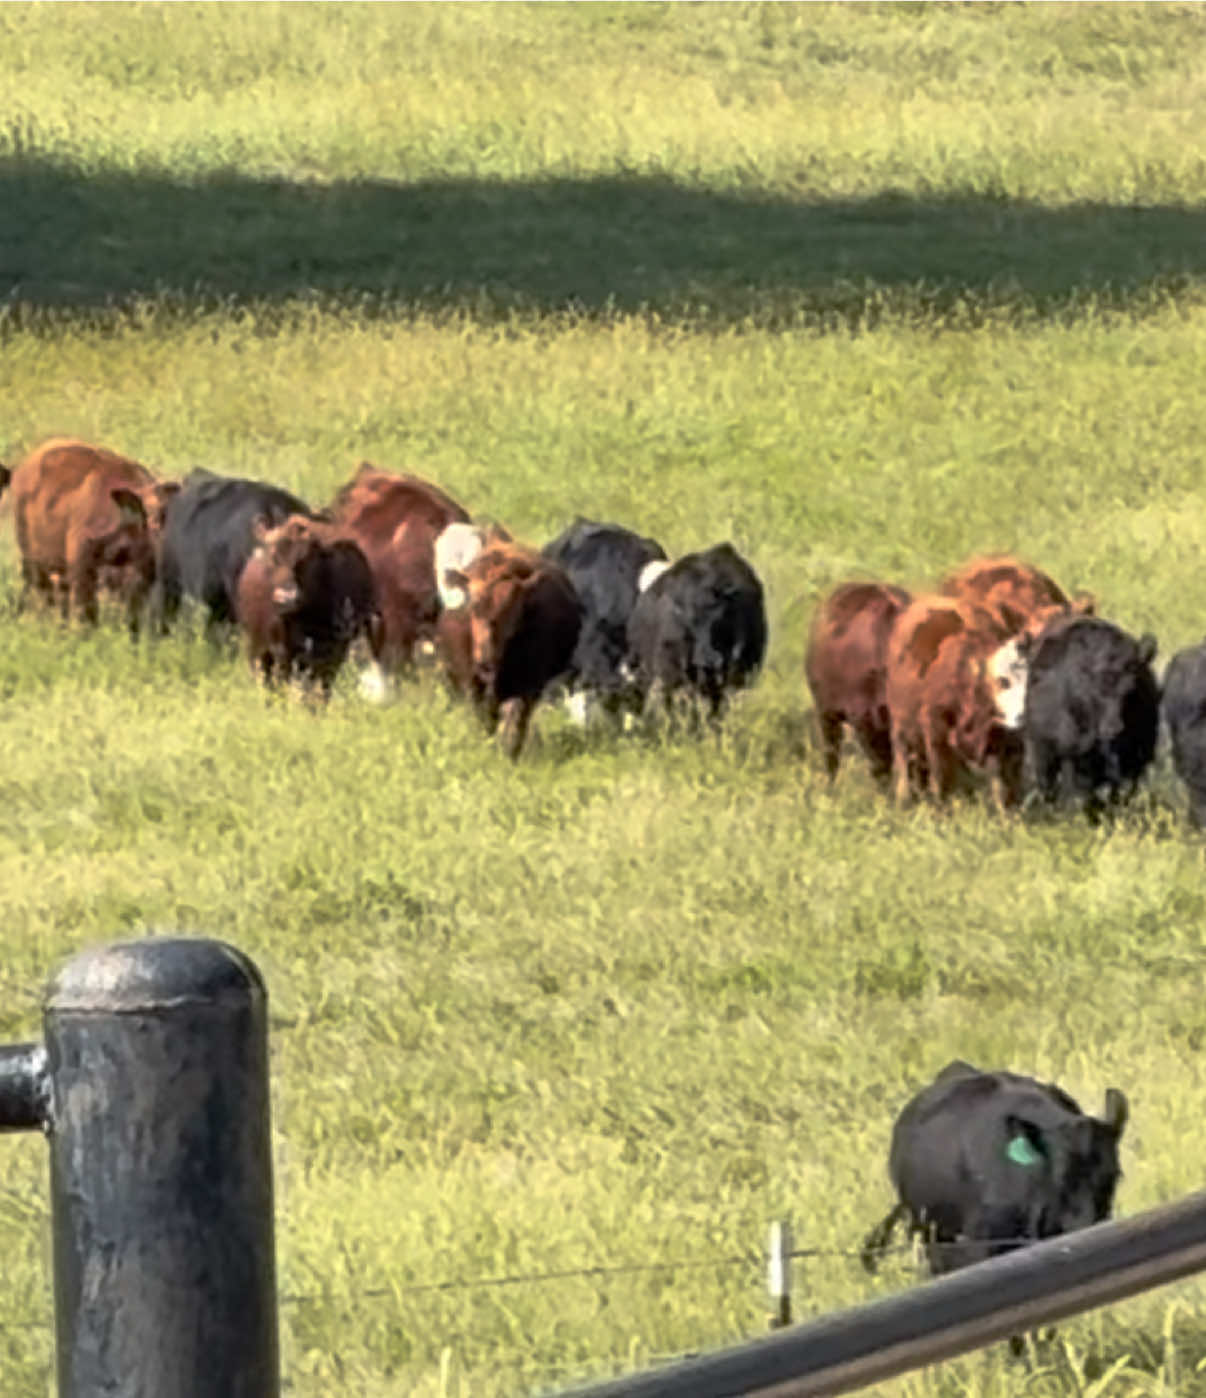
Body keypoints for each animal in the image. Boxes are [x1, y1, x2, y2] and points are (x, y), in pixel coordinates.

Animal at [9, 437, 179, 634]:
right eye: (150, 518)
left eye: (166, 514)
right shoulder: (82, 565)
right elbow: (87, 611)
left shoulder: (140, 579)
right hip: (32, 558)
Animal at [235, 514, 381, 698]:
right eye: (273, 557)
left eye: (305, 559)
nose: (286, 597)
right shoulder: (283, 652)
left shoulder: (333, 654)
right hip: (257, 647)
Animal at [436, 541, 581, 758]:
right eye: (474, 606)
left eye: (514, 611)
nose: (485, 662)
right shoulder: (471, 685)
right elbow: (484, 718)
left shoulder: (527, 686)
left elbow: (515, 717)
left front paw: (508, 753)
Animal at [885, 596, 1031, 809]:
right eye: (1003, 681)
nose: (1024, 715)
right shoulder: (935, 730)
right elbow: (941, 776)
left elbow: (1002, 783)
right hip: (901, 725)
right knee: (903, 757)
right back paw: (903, 797)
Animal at [1022, 614, 1160, 819]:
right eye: (1094, 688)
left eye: (1131, 688)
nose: (1113, 728)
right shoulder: (1071, 754)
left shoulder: (1137, 759)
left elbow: (1121, 794)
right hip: (1042, 751)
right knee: (1050, 787)